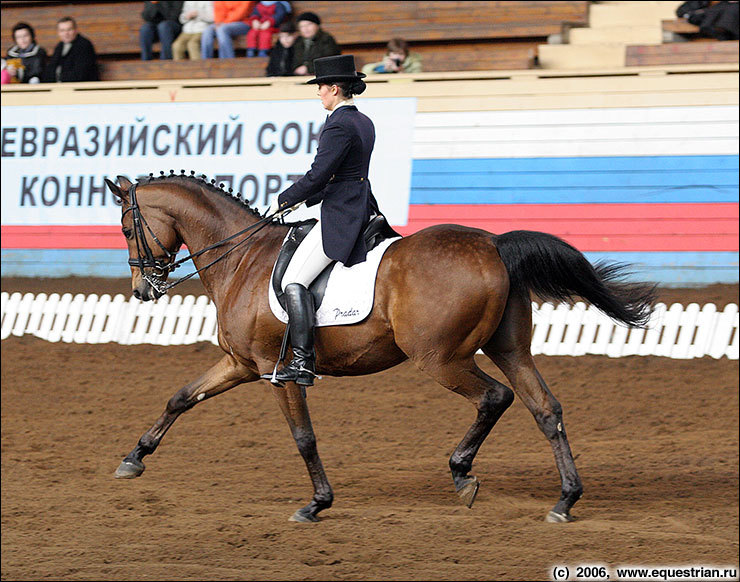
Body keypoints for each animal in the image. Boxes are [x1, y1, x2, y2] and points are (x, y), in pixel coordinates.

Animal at [102, 172, 652, 524]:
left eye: (127, 228)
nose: (142, 290)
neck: (243, 257)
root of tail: (493, 243)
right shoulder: (240, 362)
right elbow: (181, 397)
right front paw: (134, 458)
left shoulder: (276, 372)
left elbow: (304, 437)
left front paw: (317, 504)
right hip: (510, 350)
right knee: (546, 409)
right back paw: (565, 500)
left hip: (440, 359)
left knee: (495, 398)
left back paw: (463, 475)